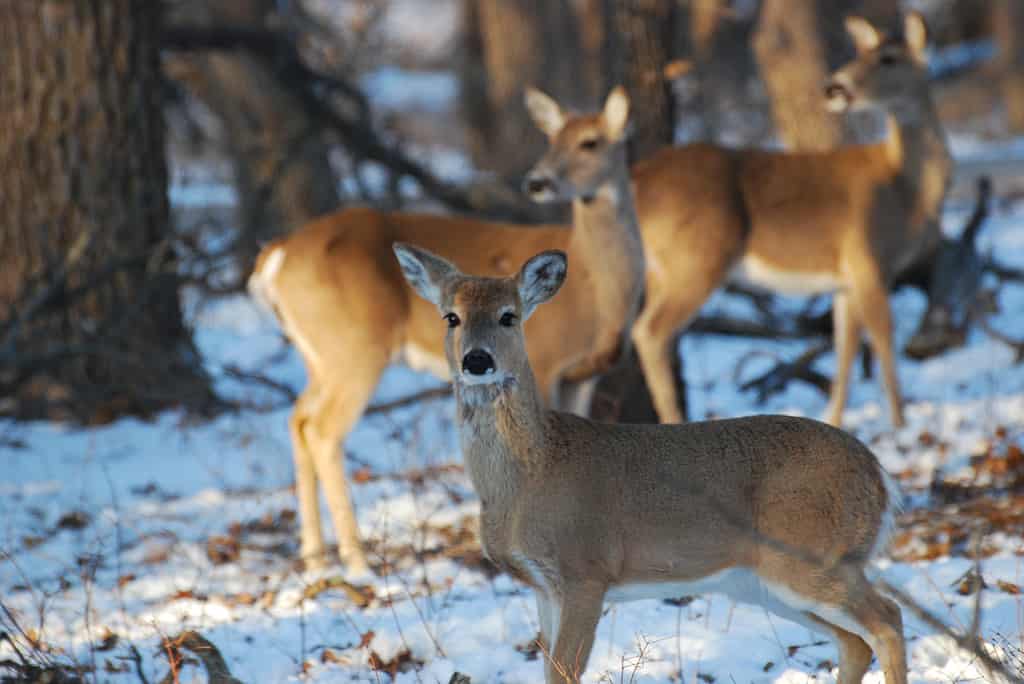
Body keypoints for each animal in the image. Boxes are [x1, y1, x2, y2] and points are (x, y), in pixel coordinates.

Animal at [249, 89, 647, 573]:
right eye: (551, 140)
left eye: (591, 142)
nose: (537, 182)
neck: (598, 289)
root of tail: (277, 254)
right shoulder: (548, 360)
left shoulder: (582, 375)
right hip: (355, 346)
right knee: (324, 429)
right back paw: (357, 560)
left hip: (318, 355)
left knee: (298, 418)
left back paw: (316, 557)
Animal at [391, 242, 905, 684]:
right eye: (451, 316)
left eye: (508, 316)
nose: (477, 360)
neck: (530, 473)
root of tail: (879, 478)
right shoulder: (541, 586)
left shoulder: (585, 570)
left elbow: (564, 673)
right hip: (764, 582)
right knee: (856, 641)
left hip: (812, 554)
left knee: (888, 619)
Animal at [598, 9, 954, 428]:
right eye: (861, 54)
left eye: (888, 58)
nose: (834, 87)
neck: (906, 188)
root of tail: (639, 178)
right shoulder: (868, 258)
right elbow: (883, 339)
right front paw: (900, 423)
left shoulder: (844, 279)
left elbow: (845, 349)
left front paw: (835, 419)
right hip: (697, 256)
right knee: (651, 331)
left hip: (659, 267)